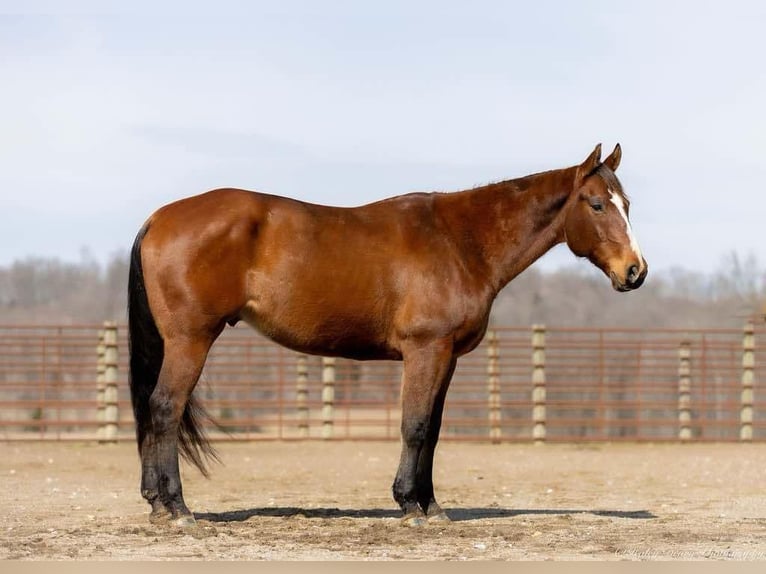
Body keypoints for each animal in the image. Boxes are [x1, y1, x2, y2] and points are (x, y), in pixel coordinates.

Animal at [130, 142, 648, 528]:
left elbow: (432, 430)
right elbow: (413, 425)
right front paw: (409, 505)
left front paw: (431, 506)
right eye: (597, 204)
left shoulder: (447, 357)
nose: (635, 271)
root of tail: (159, 218)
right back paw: (176, 508)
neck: (461, 241)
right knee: (165, 408)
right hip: (191, 340)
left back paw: (156, 503)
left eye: (627, 205)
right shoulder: (425, 350)